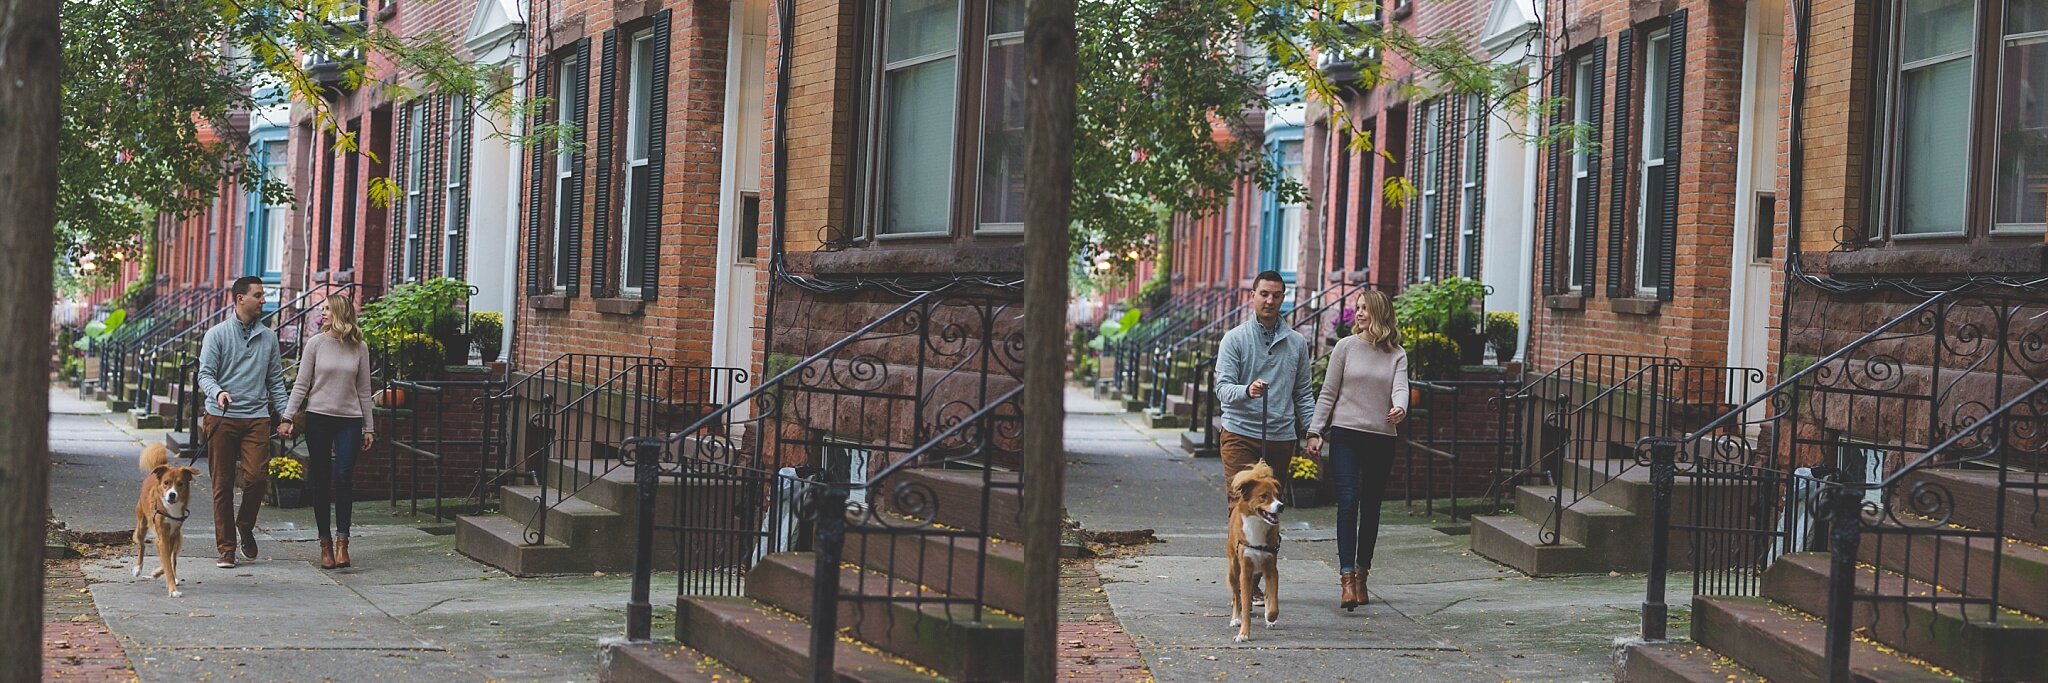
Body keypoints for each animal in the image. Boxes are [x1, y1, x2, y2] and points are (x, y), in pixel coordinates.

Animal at [133, 440, 200, 594]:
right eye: (166, 483)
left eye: (180, 484)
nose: (172, 494)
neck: (171, 510)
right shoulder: (162, 537)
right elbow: (166, 562)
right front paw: (172, 589)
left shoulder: (173, 535)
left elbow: (168, 560)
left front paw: (161, 575)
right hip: (142, 526)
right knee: (142, 544)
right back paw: (138, 568)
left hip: (177, 538)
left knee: (173, 557)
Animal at [1220, 459, 1286, 639]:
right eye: (1264, 496)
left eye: (1278, 496)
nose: (1281, 506)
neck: (1259, 526)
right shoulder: (1245, 571)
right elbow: (1243, 603)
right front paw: (1243, 633)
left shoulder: (1271, 569)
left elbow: (1274, 602)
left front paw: (1271, 617)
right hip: (1234, 570)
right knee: (1236, 596)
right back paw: (1235, 618)